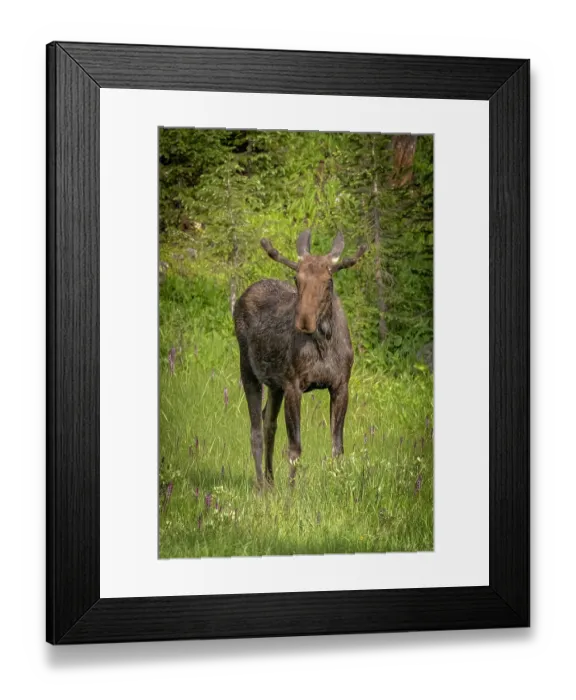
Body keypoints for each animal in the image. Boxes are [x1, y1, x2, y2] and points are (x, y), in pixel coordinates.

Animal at [233, 229, 367, 489]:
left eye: (328, 281)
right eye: (297, 279)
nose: (304, 320)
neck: (324, 343)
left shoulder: (340, 385)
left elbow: (337, 447)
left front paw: (338, 486)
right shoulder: (293, 385)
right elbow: (295, 448)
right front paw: (291, 492)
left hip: (275, 385)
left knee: (268, 422)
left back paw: (270, 481)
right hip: (248, 369)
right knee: (255, 430)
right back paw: (261, 485)